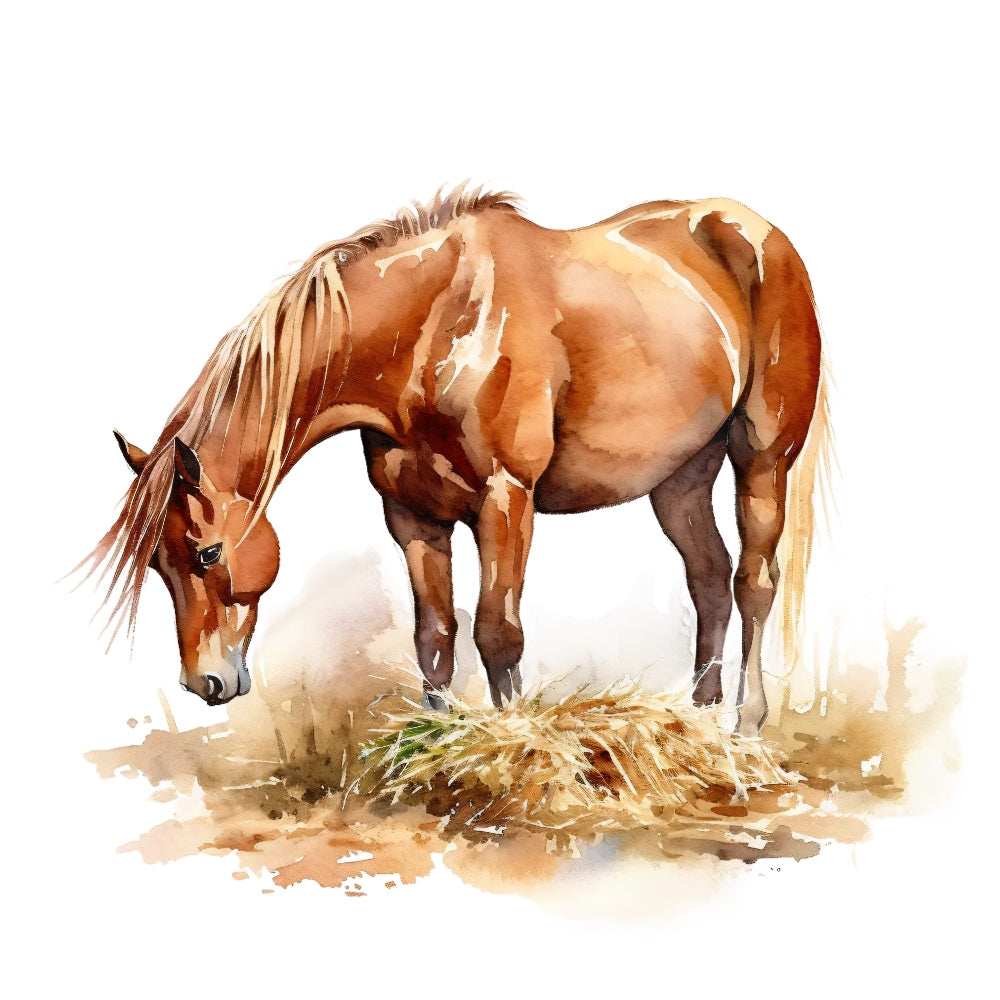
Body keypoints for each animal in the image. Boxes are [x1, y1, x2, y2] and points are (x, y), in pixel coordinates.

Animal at [87, 185, 831, 735]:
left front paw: (513, 739)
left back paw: (746, 725)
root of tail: (757, 230)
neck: (436, 327)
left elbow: (498, 632)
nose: (204, 682)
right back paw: (700, 720)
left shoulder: (507, 501)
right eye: (157, 564)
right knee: (708, 579)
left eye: (208, 552)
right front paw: (437, 742)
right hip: (678, 478)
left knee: (753, 582)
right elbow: (436, 636)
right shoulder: (413, 516)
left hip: (762, 460)